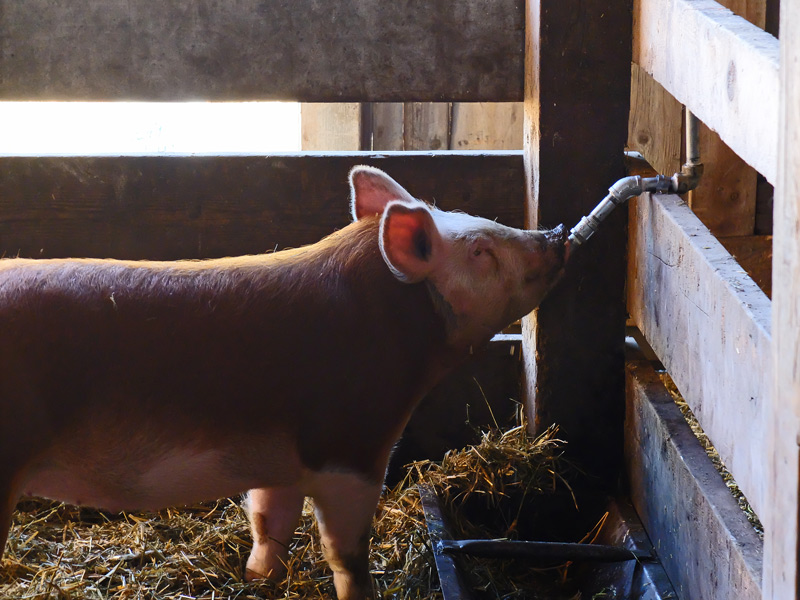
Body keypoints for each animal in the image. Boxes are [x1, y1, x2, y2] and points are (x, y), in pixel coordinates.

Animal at [0, 165, 567, 600]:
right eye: (480, 251)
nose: (555, 234)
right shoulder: (348, 446)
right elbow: (346, 551)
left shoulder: (278, 459)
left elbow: (269, 522)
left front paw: (258, 581)